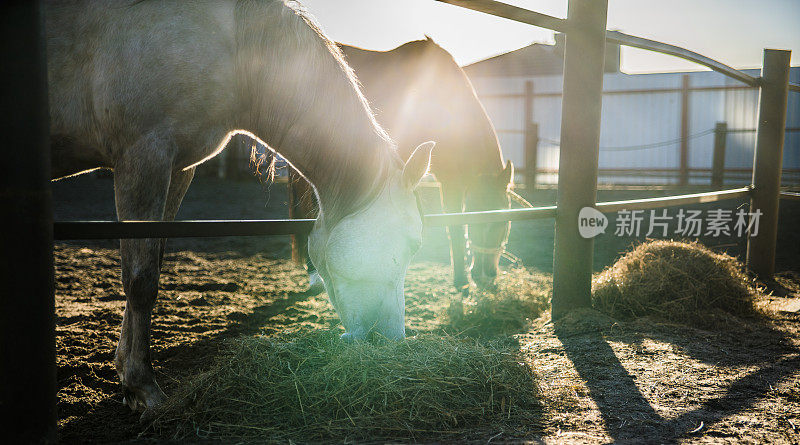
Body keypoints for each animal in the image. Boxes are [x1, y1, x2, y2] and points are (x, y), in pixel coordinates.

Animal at [47, 0, 434, 410]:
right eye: (414, 245)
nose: (392, 338)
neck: (231, 42)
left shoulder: (177, 168)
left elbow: (153, 264)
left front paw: (126, 375)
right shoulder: (143, 156)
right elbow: (140, 280)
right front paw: (143, 386)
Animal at [290, 39, 516, 294]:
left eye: (505, 221)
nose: (486, 276)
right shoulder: (449, 180)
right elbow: (455, 228)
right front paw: (461, 280)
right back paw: (314, 277)